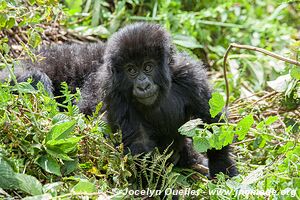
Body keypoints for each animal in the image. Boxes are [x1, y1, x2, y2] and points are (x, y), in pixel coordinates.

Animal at [2, 22, 237, 177]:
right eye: (131, 70)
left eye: (148, 67)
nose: (143, 85)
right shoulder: (112, 90)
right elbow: (139, 145)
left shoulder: (189, 75)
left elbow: (210, 118)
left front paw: (224, 170)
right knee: (36, 77)